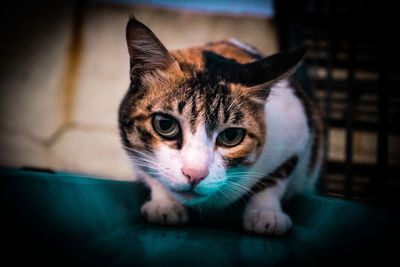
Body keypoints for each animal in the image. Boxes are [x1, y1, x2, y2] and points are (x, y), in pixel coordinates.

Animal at [119, 16, 324, 236]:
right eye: (165, 125)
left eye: (231, 136)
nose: (195, 174)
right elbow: (151, 173)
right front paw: (164, 205)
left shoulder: (298, 132)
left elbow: (274, 179)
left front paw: (266, 213)